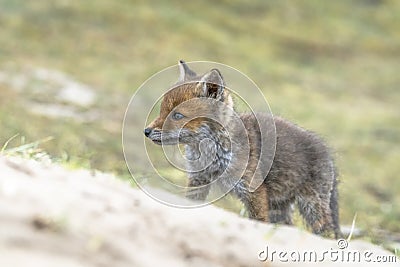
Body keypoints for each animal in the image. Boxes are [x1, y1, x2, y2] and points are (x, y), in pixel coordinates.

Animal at [144, 60, 340, 239]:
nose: (146, 131)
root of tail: (326, 151)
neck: (211, 154)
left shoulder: (252, 190)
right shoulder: (198, 180)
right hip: (280, 206)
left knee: (328, 233)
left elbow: (258, 221)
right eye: (162, 111)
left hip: (311, 206)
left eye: (177, 115)